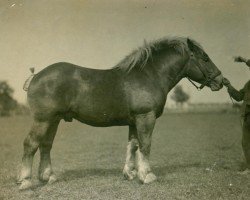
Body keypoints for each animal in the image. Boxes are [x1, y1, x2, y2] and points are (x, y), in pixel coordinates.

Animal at [18, 37, 224, 189]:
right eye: (205, 58)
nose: (221, 81)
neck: (149, 75)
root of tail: (35, 76)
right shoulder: (145, 117)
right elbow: (145, 145)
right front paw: (147, 175)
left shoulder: (134, 121)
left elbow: (132, 145)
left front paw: (130, 173)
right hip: (43, 120)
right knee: (31, 144)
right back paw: (25, 181)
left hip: (54, 120)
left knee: (46, 145)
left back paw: (48, 177)